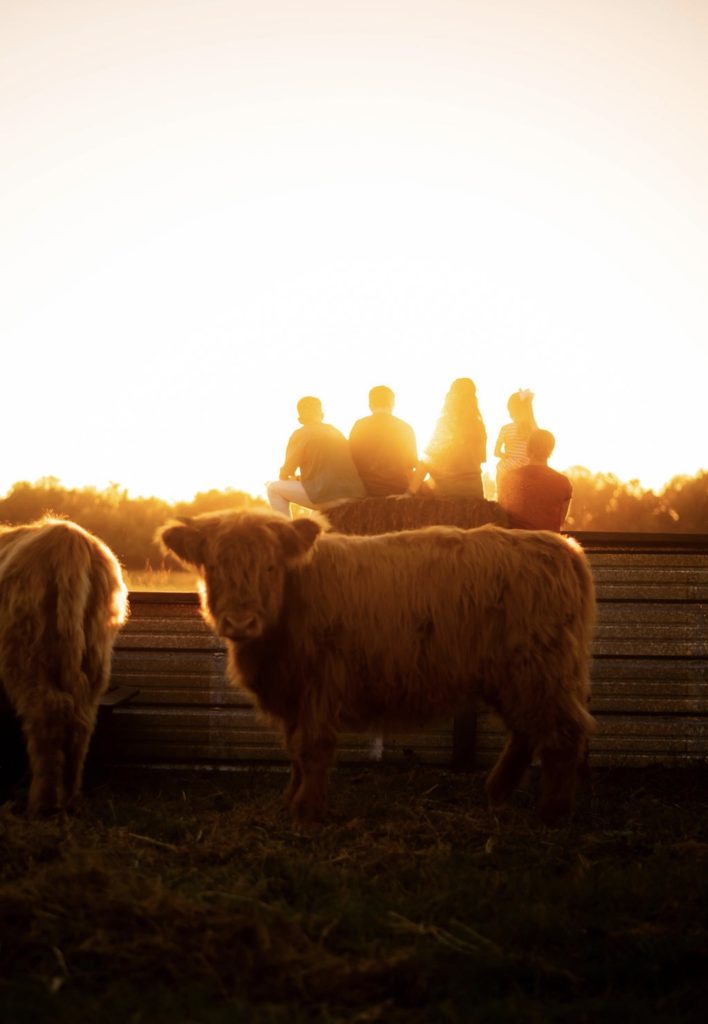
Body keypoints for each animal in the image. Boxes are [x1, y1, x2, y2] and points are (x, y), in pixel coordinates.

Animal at [0, 517, 129, 816]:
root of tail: (69, 540)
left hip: (27, 656)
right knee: (81, 720)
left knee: (47, 713)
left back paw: (43, 804)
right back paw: (70, 798)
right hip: (94, 658)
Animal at [157, 508, 596, 824]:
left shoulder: (322, 681)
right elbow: (294, 749)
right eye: (213, 567)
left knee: (563, 732)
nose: (239, 622)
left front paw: (306, 809)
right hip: (516, 677)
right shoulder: (293, 692)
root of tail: (562, 546)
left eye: (269, 567)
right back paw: (497, 794)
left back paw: (552, 813)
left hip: (539, 669)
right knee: (527, 731)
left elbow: (311, 747)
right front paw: (290, 799)